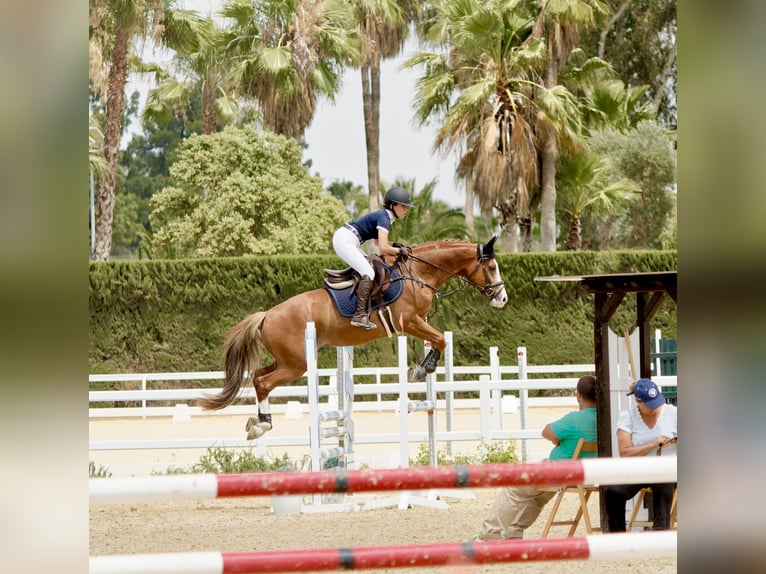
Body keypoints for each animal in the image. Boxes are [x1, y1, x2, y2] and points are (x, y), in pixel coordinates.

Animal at [201, 238, 508, 440]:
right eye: (492, 267)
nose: (502, 299)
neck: (418, 274)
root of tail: (266, 315)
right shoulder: (409, 322)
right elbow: (441, 340)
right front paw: (422, 369)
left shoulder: (418, 323)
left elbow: (437, 340)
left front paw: (424, 366)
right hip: (296, 364)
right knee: (263, 382)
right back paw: (262, 425)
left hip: (287, 361)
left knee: (257, 376)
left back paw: (258, 423)